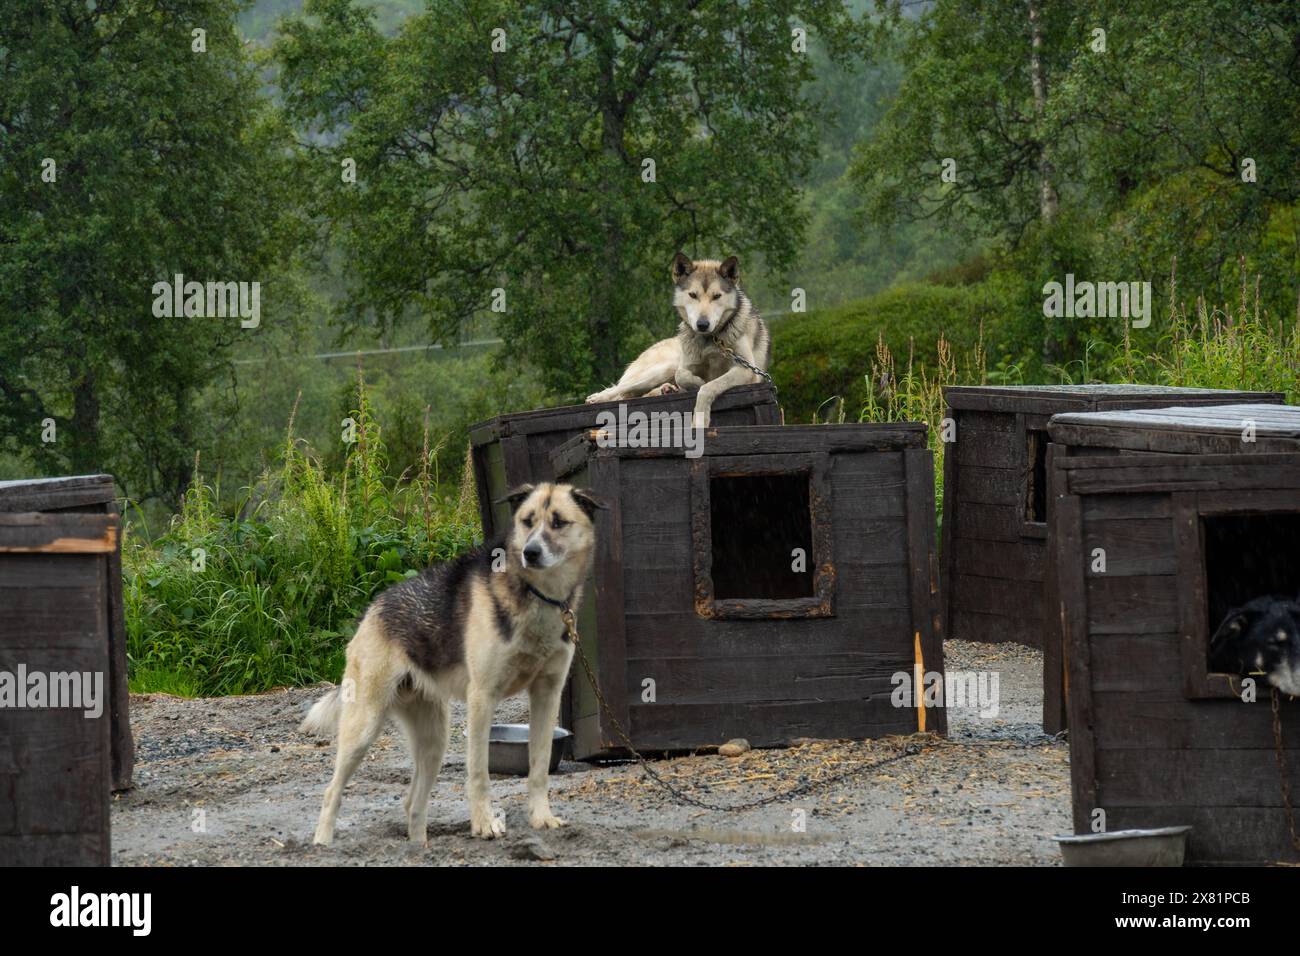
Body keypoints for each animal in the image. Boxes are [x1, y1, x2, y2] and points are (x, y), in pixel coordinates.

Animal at [306, 481, 600, 842]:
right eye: (528, 521)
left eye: (558, 522)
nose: (531, 552)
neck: (537, 595)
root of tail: (372, 611)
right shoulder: (482, 699)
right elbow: (479, 773)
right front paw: (484, 824)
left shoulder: (547, 695)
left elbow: (539, 768)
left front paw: (541, 818)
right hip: (363, 728)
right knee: (332, 792)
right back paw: (323, 842)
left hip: (434, 741)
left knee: (412, 804)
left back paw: (419, 847)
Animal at [590, 252, 769, 429]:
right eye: (693, 295)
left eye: (717, 296)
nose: (702, 324)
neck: (711, 339)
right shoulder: (685, 366)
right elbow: (683, 375)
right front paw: (696, 382)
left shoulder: (746, 370)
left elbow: (708, 386)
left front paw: (699, 418)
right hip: (662, 369)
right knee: (621, 389)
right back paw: (598, 397)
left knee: (632, 393)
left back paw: (667, 389)